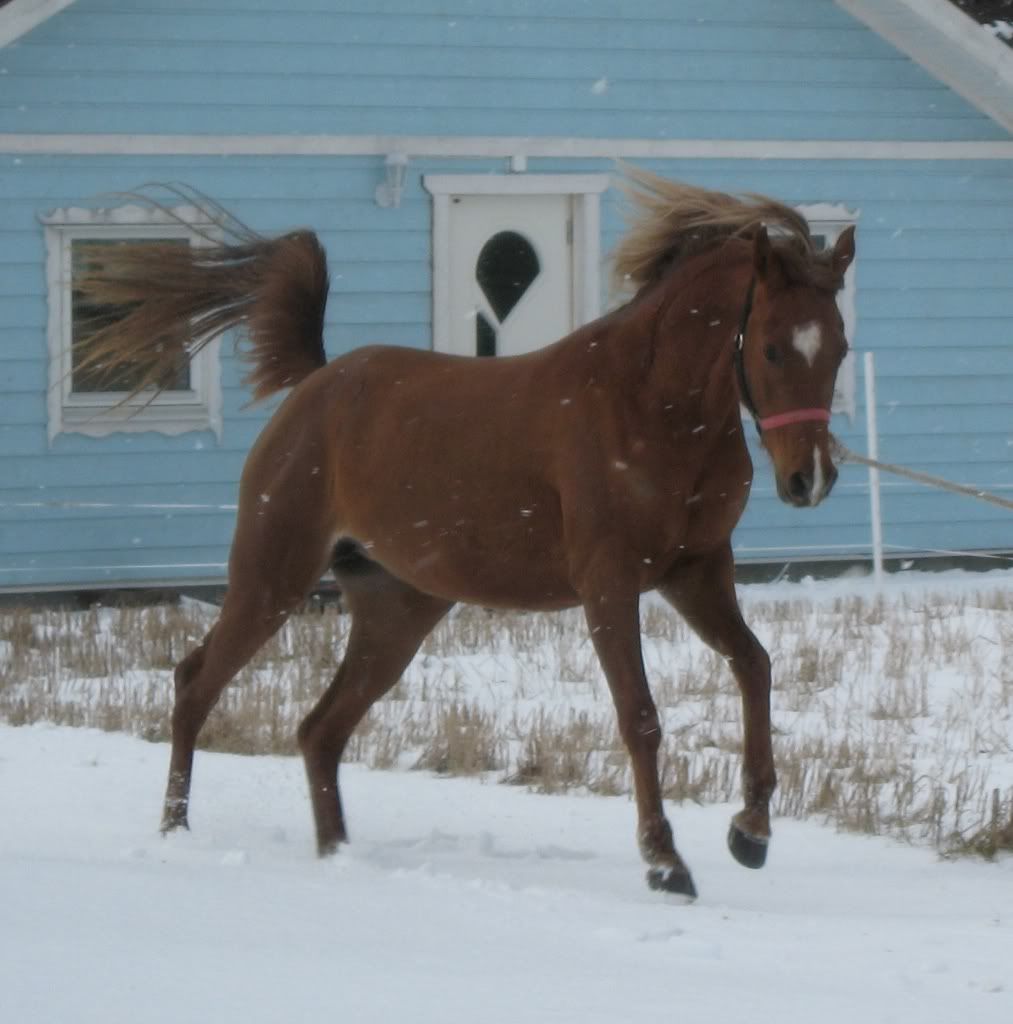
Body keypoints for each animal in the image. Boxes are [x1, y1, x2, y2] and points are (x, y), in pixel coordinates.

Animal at [77, 172, 852, 901]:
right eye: (772, 349)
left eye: (840, 349)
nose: (809, 479)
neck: (652, 405)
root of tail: (314, 384)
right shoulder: (609, 584)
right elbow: (639, 717)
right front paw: (666, 864)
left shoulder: (696, 570)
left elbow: (754, 665)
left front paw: (750, 832)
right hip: (272, 576)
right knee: (195, 685)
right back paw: (175, 830)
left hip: (397, 610)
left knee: (319, 729)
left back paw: (336, 853)